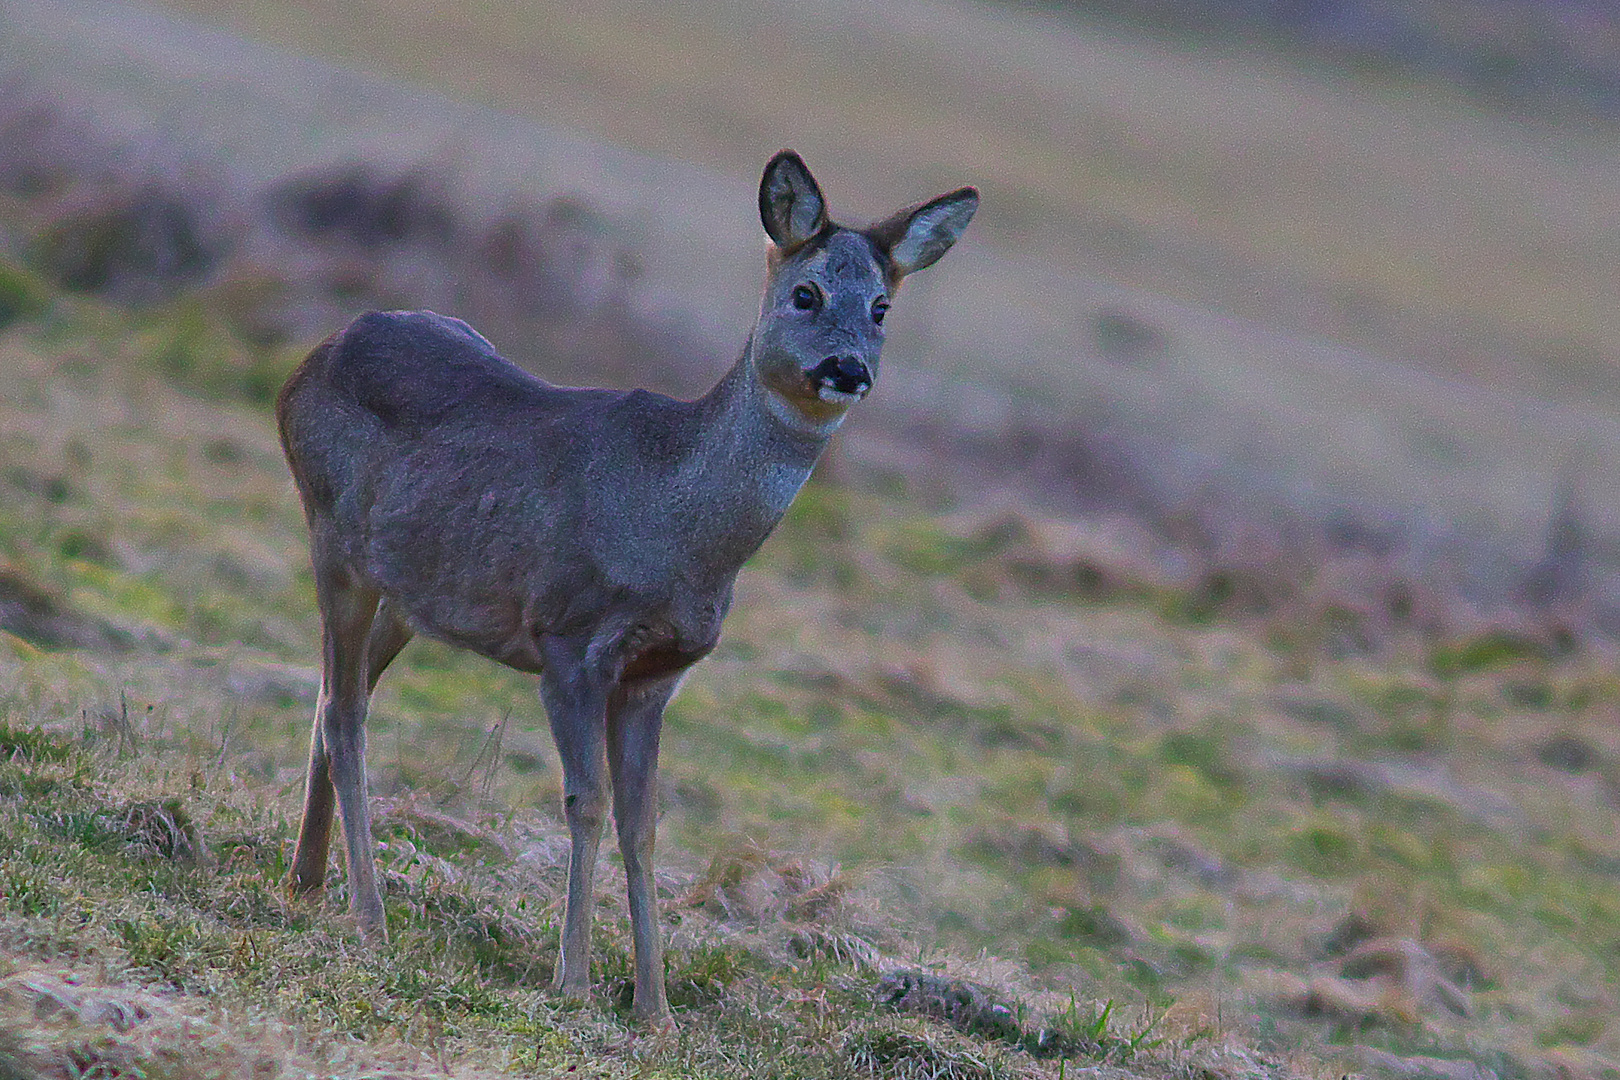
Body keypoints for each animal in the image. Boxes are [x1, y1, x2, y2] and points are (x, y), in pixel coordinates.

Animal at [277, 152, 972, 1023]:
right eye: (806, 294)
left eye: (881, 308)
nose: (848, 369)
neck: (673, 528)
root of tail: (314, 355)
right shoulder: (569, 640)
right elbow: (588, 803)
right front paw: (573, 978)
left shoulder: (658, 674)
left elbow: (644, 827)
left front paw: (656, 1009)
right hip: (333, 539)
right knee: (346, 712)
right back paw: (366, 913)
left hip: (410, 592)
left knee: (331, 697)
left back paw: (305, 880)